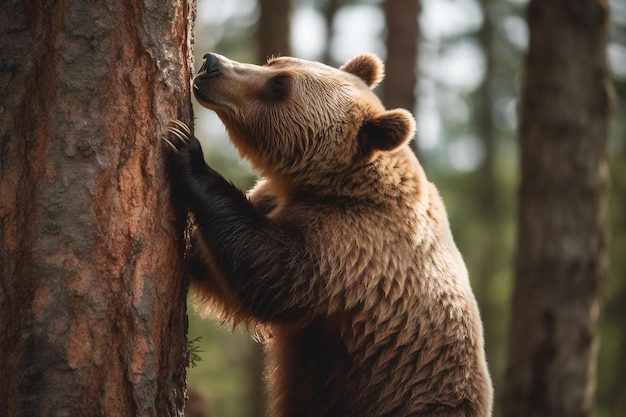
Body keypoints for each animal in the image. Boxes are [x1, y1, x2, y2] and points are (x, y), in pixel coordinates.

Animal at [163, 52, 490, 416]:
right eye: (275, 62)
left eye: (279, 85)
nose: (212, 63)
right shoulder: (279, 200)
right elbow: (217, 264)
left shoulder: (352, 246)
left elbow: (270, 274)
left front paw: (184, 148)